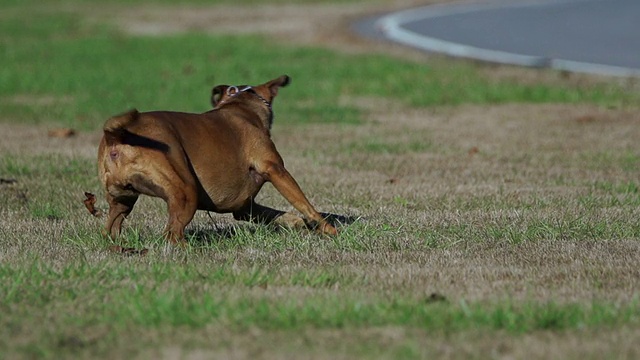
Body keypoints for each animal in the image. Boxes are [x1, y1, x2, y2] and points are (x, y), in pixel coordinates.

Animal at [97, 76, 338, 245]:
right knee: (171, 234)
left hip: (123, 200)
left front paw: (297, 223)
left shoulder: (246, 207)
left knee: (110, 228)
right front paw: (328, 229)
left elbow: (276, 213)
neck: (240, 107)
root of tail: (116, 136)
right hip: (185, 190)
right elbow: (304, 203)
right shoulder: (276, 170)